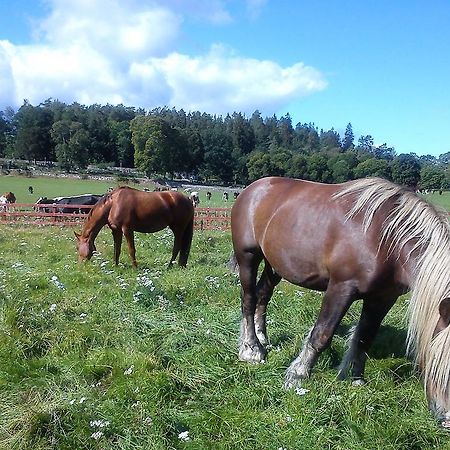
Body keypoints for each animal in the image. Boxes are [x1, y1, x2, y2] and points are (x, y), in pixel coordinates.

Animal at [232, 176, 450, 426]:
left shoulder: (383, 298)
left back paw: (262, 339)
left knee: (262, 296)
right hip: (248, 256)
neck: (388, 239)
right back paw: (251, 349)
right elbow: (321, 335)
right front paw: (297, 375)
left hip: (273, 265)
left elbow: (365, 337)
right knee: (248, 299)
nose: (446, 419)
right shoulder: (341, 288)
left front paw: (356, 378)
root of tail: (252, 189)